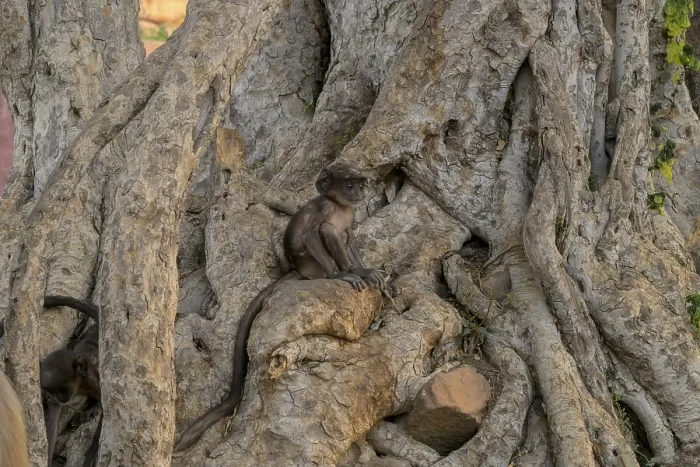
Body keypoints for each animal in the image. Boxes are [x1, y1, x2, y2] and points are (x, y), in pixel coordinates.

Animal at [40, 296, 101, 467]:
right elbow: (52, 427)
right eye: (51, 392)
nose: (59, 398)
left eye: (63, 390)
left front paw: (92, 452)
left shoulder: (93, 380)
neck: (79, 385)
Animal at [173, 162, 386, 451]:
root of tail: (298, 270)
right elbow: (314, 233)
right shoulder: (323, 209)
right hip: (312, 265)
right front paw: (344, 274)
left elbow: (349, 236)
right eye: (349, 185)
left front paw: (364, 270)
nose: (359, 192)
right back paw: (343, 272)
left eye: (360, 184)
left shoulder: (349, 216)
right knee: (327, 231)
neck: (340, 206)